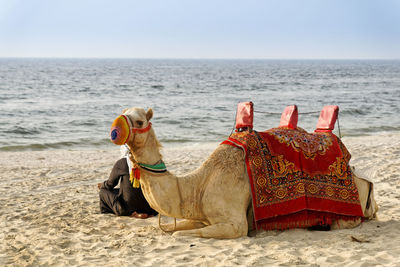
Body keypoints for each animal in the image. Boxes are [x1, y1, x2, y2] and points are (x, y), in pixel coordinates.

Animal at [118, 108, 378, 240]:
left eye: (139, 120)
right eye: (124, 112)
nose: (116, 128)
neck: (197, 186)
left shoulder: (235, 223)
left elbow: (189, 235)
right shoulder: (202, 215)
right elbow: (177, 228)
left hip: (348, 212)